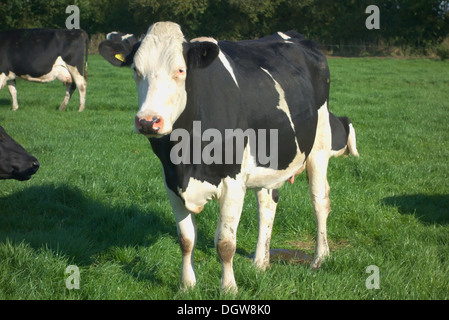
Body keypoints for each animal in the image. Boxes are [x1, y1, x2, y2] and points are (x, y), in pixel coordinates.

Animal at [100, 21, 358, 292]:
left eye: (180, 70)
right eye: (136, 70)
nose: (148, 121)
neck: (187, 157)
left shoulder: (233, 181)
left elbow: (225, 243)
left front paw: (229, 288)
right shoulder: (171, 181)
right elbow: (186, 239)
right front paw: (187, 285)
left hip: (319, 144)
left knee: (320, 201)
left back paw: (320, 258)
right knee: (267, 203)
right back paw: (260, 263)